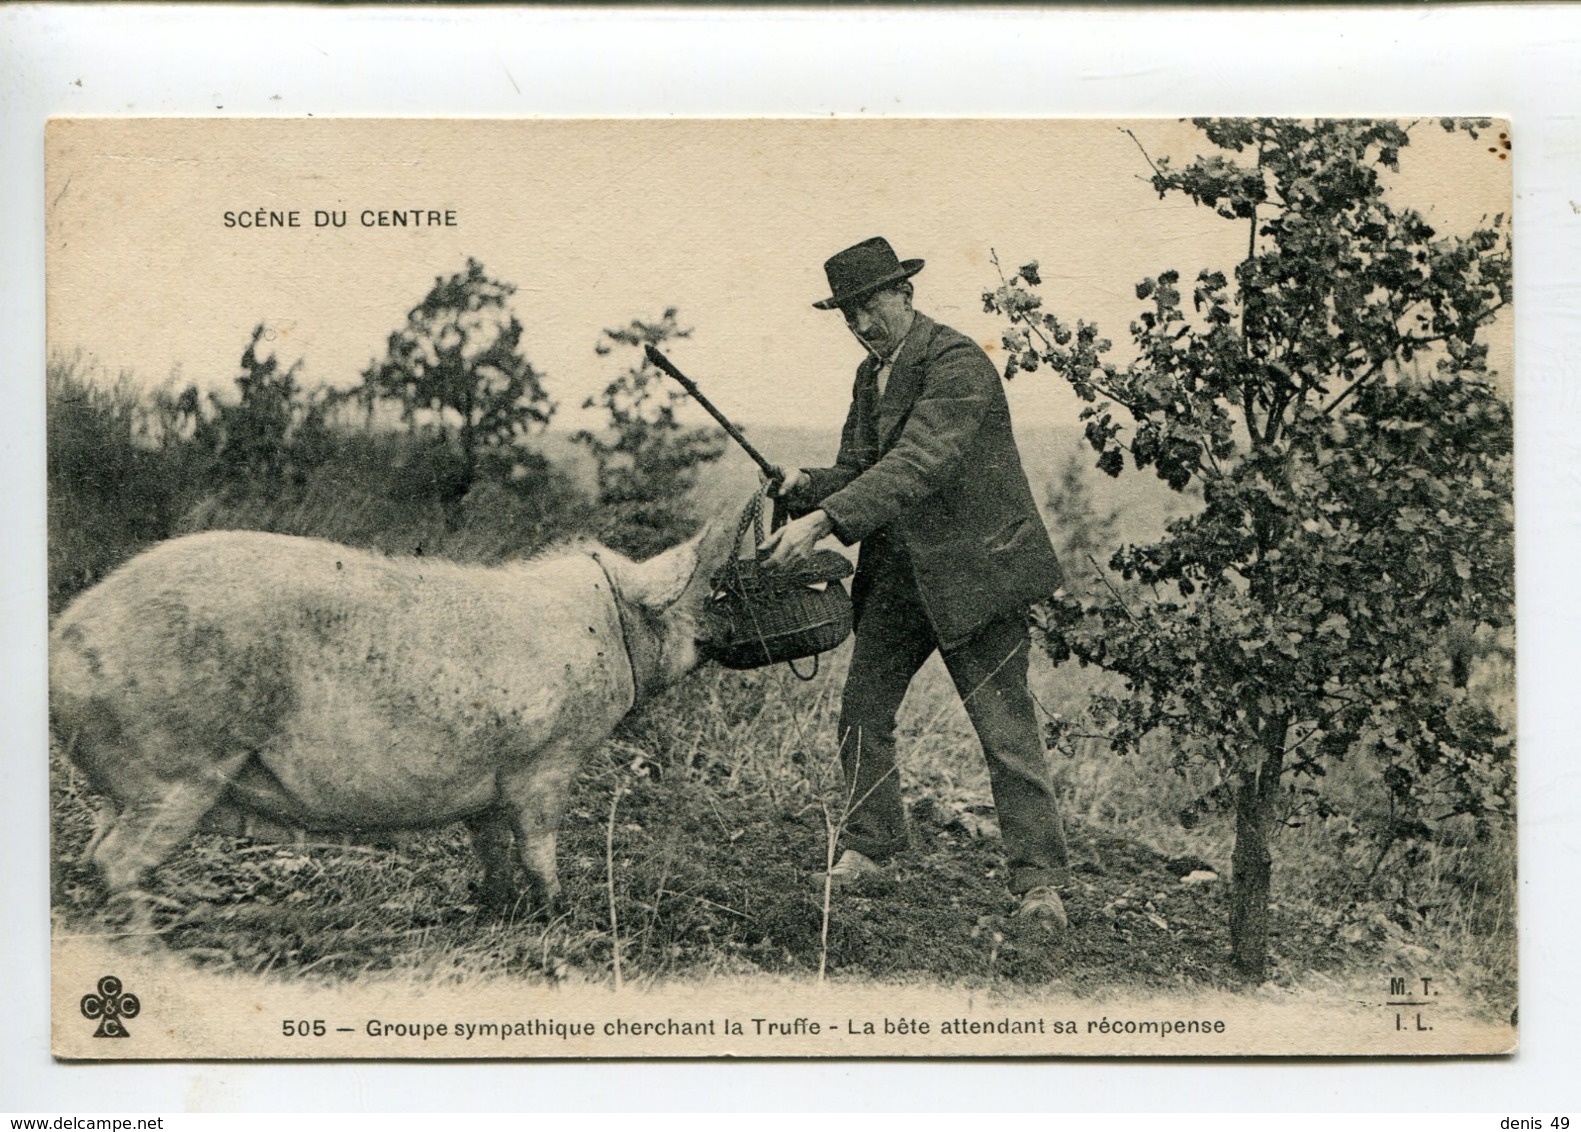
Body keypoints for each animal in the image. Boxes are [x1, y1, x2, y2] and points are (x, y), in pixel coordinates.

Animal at [49, 518, 736, 929]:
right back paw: (151, 928)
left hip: (134, 780)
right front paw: (559, 912)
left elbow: (492, 845)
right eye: (681, 609)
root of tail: (66, 639)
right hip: (181, 767)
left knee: (92, 851)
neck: (606, 629)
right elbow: (538, 843)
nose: (711, 637)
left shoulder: (491, 778)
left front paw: (493, 907)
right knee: (114, 861)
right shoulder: (547, 761)